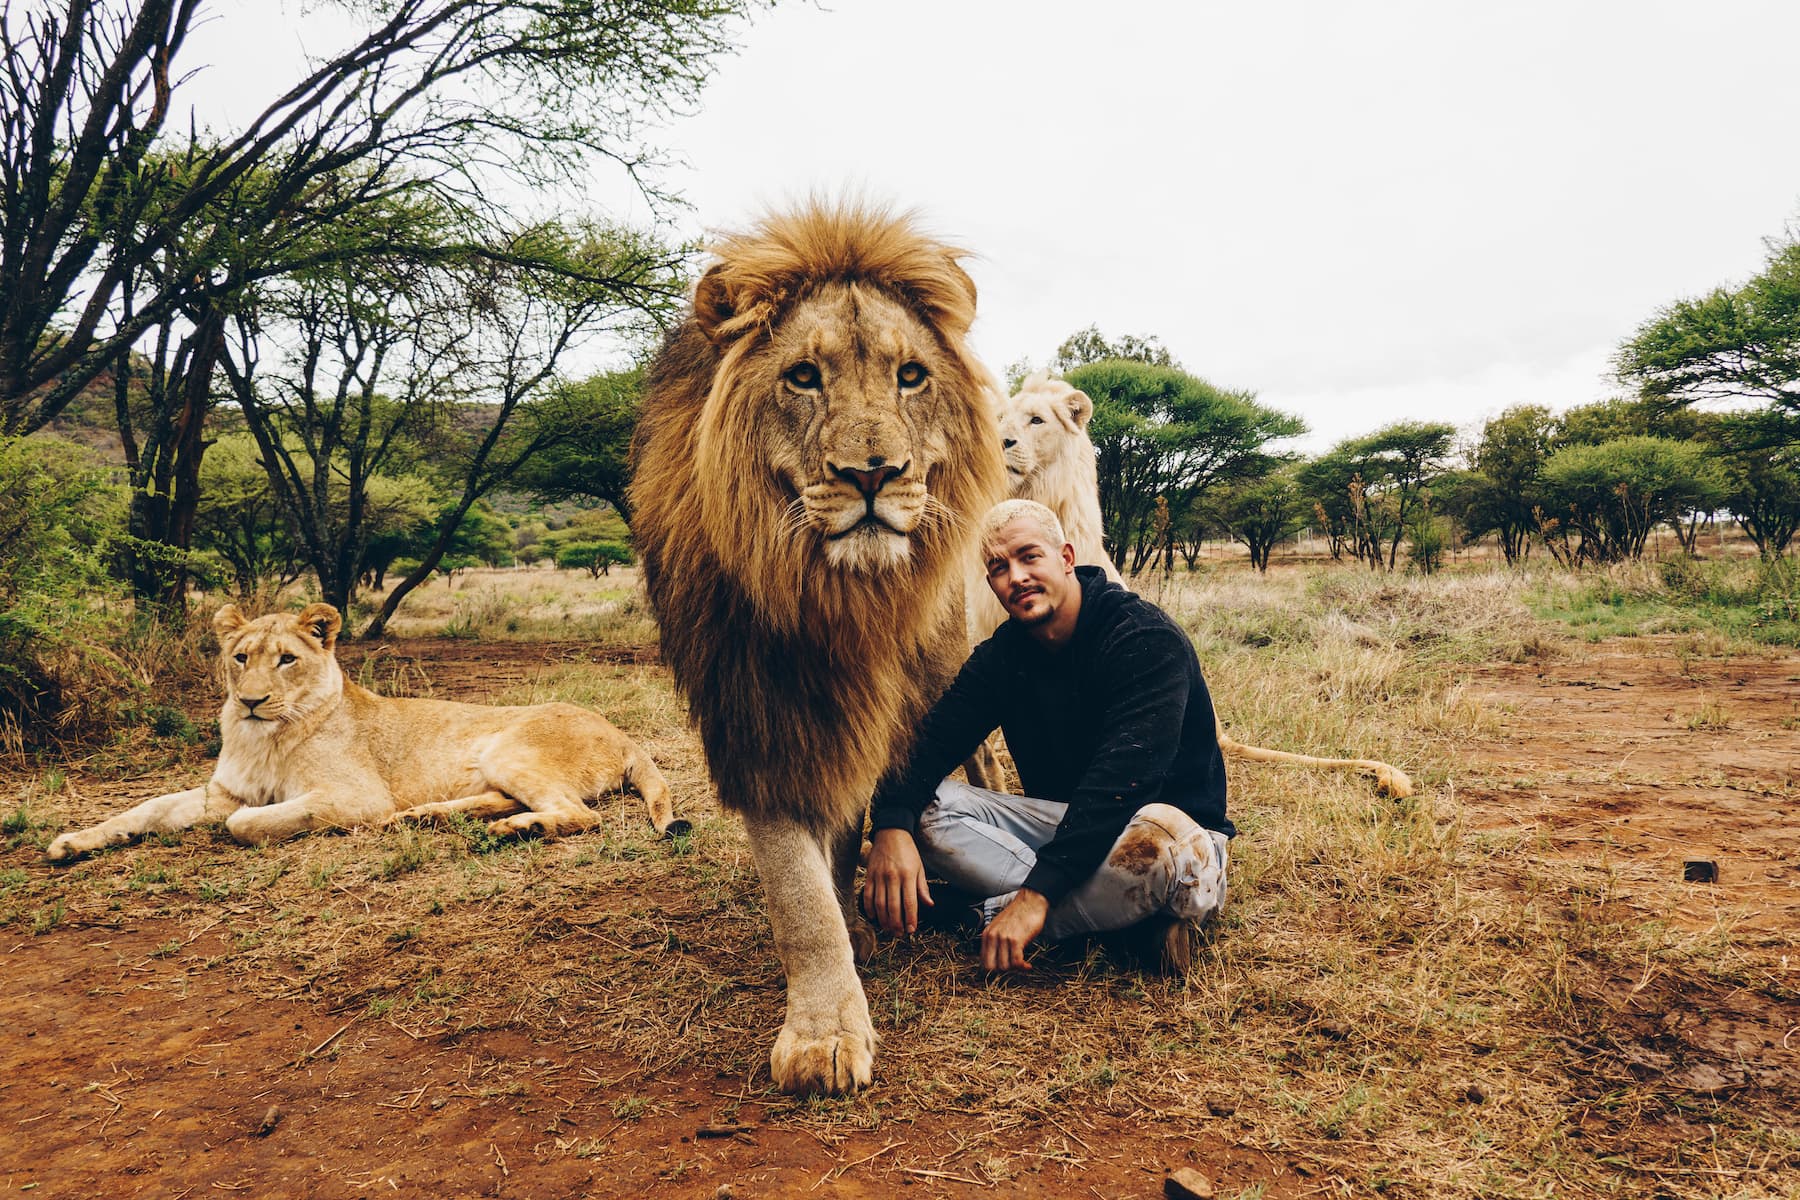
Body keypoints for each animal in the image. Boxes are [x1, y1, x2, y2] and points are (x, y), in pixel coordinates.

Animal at [45, 603, 683, 862]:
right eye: (241, 657)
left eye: (286, 660)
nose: (251, 701)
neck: (264, 735)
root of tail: (621, 731)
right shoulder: (222, 790)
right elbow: (147, 808)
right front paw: (74, 842)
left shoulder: (356, 797)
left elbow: (245, 823)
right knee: (514, 800)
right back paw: (426, 817)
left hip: (509, 749)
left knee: (581, 815)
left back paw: (513, 831)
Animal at [629, 201, 1006, 1095]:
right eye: (804, 377)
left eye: (911, 376)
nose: (874, 474)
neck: (837, 600)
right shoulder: (758, 712)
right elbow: (798, 892)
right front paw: (825, 1026)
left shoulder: (918, 692)